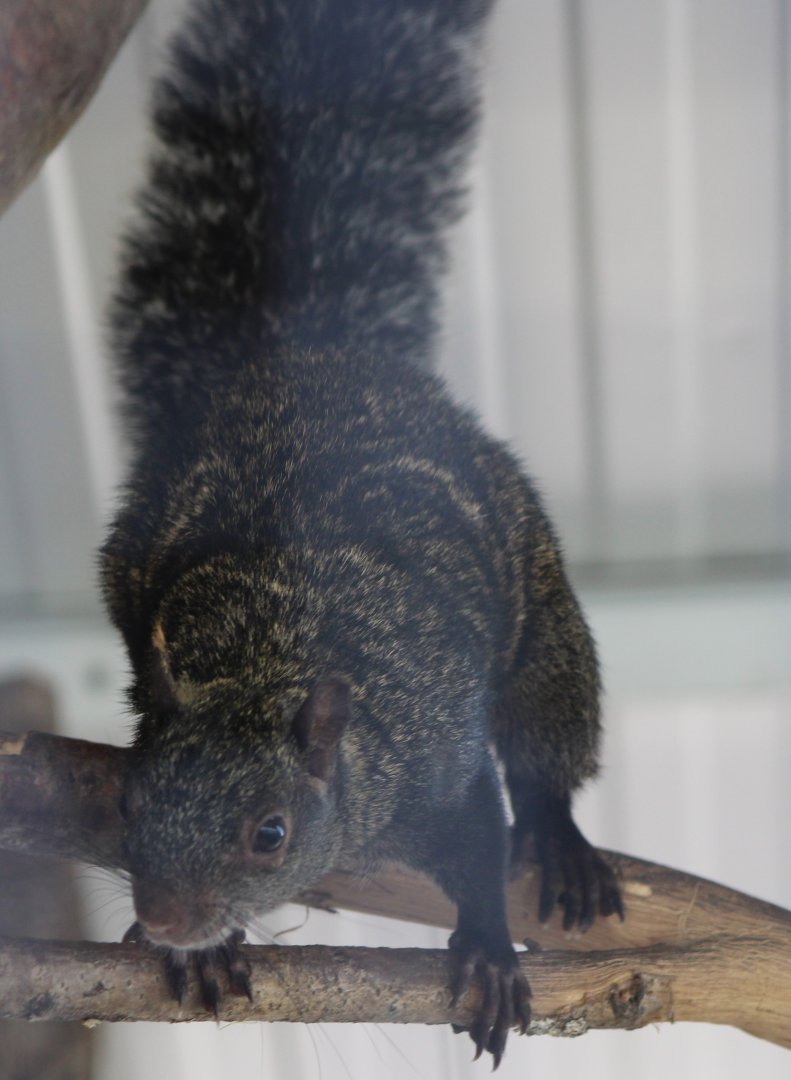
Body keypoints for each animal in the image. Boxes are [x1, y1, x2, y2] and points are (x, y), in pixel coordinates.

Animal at [101, 0, 623, 1066]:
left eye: (268, 832)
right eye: (129, 802)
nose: (169, 915)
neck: (264, 657)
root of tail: (313, 351)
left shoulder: (438, 760)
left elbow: (478, 843)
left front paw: (487, 949)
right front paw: (195, 952)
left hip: (547, 630)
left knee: (546, 736)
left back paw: (558, 838)